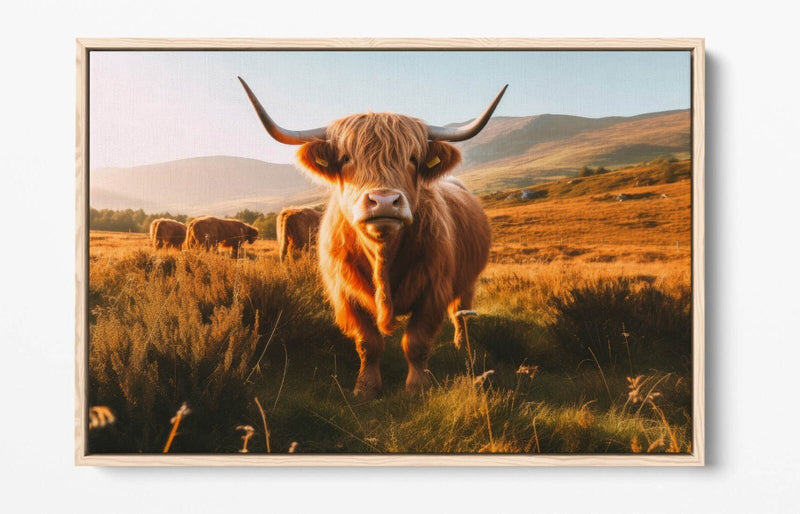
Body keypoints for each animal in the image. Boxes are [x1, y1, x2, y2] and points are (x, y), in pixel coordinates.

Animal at [240, 77, 505, 399]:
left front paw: (418, 386)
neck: (383, 254)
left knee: (461, 313)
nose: (384, 201)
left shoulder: (433, 290)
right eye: (345, 158)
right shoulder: (344, 293)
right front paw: (365, 387)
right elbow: (368, 342)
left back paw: (461, 345)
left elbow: (416, 342)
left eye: (412, 158)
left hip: (467, 280)